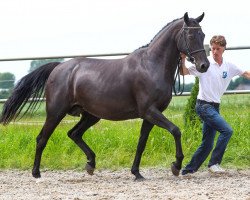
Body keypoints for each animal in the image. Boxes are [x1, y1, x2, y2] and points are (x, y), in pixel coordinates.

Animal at [0, 12, 209, 181]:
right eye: (191, 35)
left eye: (203, 35)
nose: (204, 65)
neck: (151, 65)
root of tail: (58, 67)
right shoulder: (150, 111)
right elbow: (176, 130)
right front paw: (176, 166)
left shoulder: (150, 115)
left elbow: (141, 143)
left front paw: (137, 173)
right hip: (55, 113)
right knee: (42, 138)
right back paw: (36, 173)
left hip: (91, 115)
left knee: (74, 134)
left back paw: (91, 164)